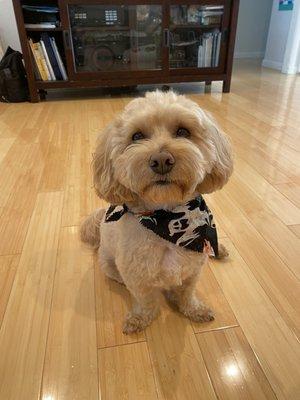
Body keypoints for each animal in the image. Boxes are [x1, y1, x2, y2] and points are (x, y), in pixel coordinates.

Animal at [81, 90, 233, 334]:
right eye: (137, 136)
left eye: (183, 131)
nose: (162, 160)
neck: (165, 216)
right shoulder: (137, 278)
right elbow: (146, 301)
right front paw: (140, 319)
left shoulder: (193, 270)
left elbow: (187, 294)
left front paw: (194, 310)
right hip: (108, 262)